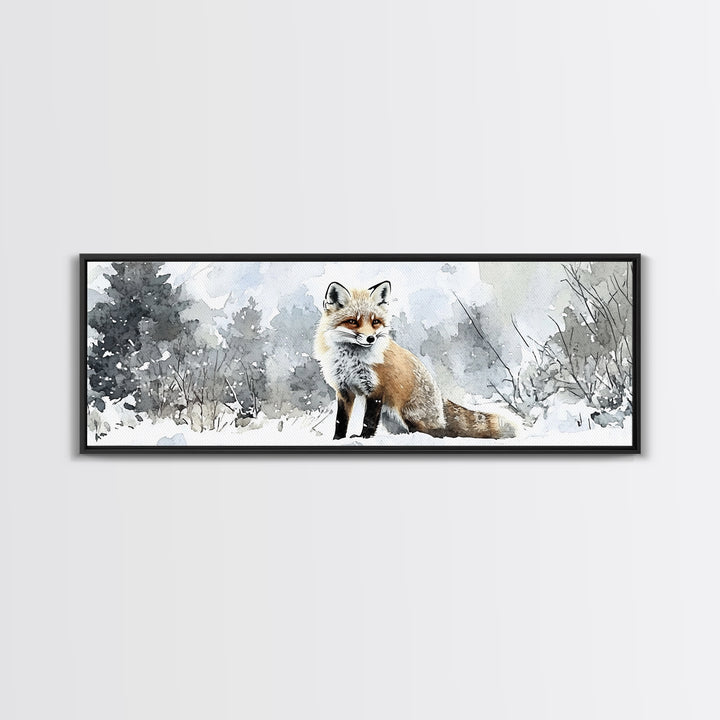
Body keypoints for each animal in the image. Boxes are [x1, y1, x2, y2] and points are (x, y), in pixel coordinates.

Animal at [313, 280, 517, 441]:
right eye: (353, 322)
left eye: (375, 322)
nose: (370, 338)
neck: (351, 360)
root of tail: (440, 398)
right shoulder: (343, 389)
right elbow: (340, 420)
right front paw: (337, 439)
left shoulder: (376, 389)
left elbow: (368, 421)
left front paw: (364, 438)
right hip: (391, 420)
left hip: (408, 414)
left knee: (437, 433)